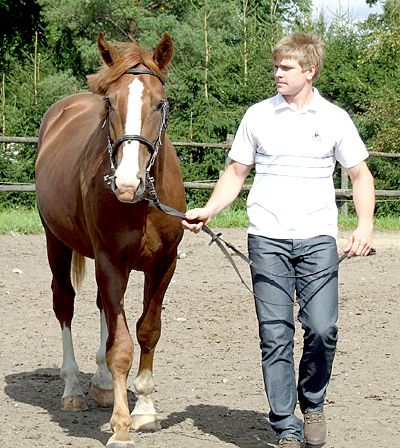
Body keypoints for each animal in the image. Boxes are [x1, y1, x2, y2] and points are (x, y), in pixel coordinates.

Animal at [35, 32, 185, 448]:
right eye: (110, 103)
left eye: (159, 103)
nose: (126, 184)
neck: (143, 204)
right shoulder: (110, 261)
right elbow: (120, 347)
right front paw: (121, 427)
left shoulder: (164, 264)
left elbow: (148, 331)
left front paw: (145, 409)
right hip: (56, 242)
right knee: (65, 304)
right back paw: (73, 389)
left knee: (104, 307)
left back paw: (102, 385)